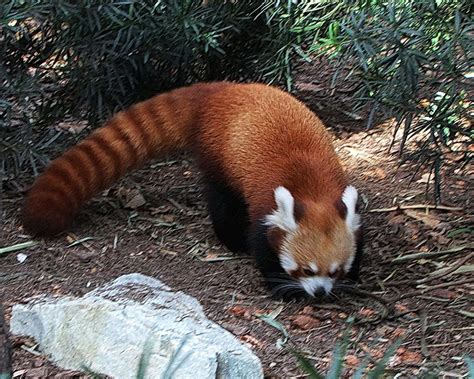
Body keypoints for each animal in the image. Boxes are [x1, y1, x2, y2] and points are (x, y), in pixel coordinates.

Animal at [21, 81, 362, 298]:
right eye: (305, 270)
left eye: (334, 271)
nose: (320, 291)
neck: (311, 189)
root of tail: (222, 90)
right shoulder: (265, 206)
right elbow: (261, 246)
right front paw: (281, 286)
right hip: (218, 158)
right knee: (221, 202)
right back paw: (230, 240)